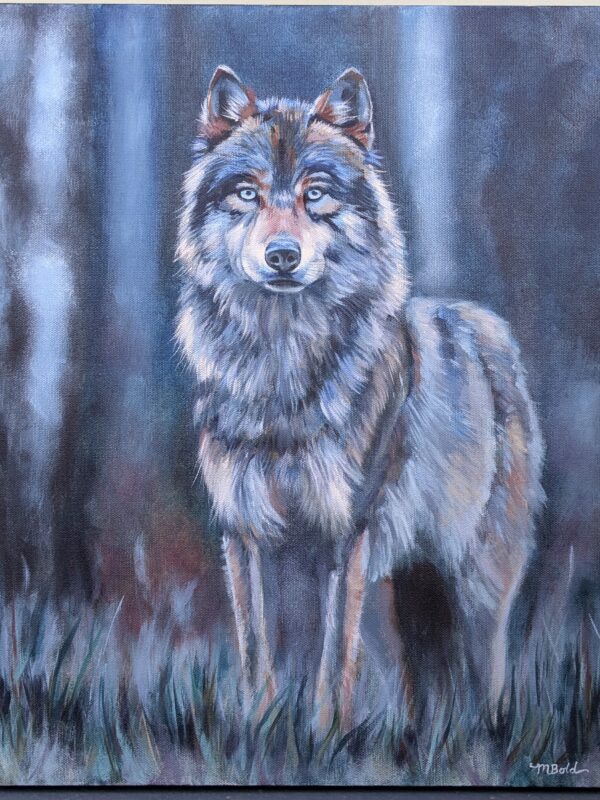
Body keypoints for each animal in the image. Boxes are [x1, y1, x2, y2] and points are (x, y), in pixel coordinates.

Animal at [175, 66, 544, 730]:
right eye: (247, 194)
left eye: (316, 194)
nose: (282, 257)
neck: (283, 376)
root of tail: (485, 326)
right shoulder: (243, 532)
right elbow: (256, 648)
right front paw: (259, 730)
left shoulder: (346, 535)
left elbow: (330, 658)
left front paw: (323, 737)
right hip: (400, 584)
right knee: (416, 674)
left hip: (473, 580)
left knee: (488, 670)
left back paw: (487, 735)